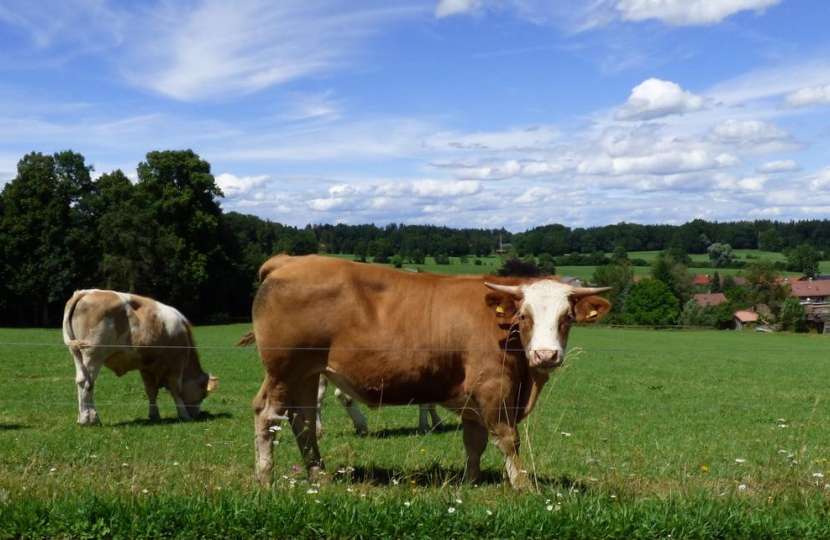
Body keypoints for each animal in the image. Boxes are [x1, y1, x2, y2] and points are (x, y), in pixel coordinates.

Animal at [63, 288, 218, 424]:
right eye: (203, 394)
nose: (197, 414)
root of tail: (84, 292)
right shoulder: (176, 361)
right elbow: (176, 389)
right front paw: (184, 415)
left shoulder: (146, 365)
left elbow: (151, 391)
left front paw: (154, 415)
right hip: (94, 355)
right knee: (87, 383)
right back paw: (86, 420)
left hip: (77, 353)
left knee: (81, 380)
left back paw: (87, 418)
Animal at [249, 254, 612, 490]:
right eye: (524, 316)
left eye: (567, 318)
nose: (546, 354)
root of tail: (289, 261)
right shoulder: (494, 388)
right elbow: (508, 439)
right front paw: (523, 486)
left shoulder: (473, 398)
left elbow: (474, 441)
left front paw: (470, 482)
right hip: (284, 371)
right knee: (267, 415)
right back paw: (265, 477)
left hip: (308, 374)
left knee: (304, 422)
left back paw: (318, 475)